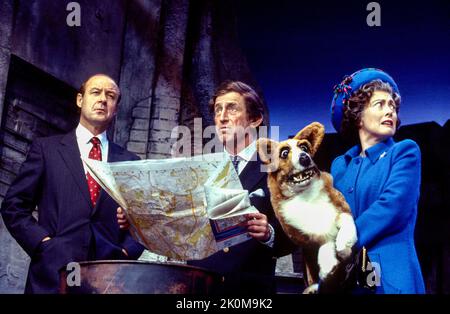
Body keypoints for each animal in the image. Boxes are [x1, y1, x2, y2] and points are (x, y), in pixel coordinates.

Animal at [256, 121, 358, 294]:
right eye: (284, 153)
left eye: (304, 148)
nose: (305, 158)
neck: (306, 195)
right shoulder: (306, 239)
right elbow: (324, 244)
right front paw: (328, 264)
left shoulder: (340, 205)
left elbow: (345, 219)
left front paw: (344, 244)